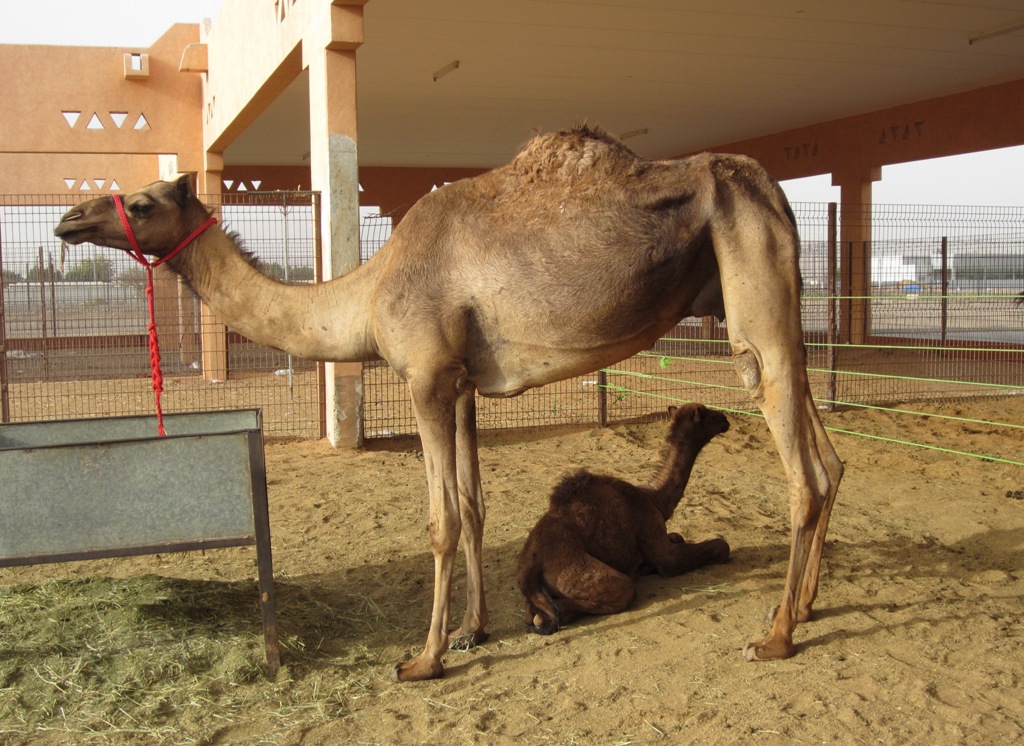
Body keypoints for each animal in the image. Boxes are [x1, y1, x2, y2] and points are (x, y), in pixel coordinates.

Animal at [520, 405, 729, 630]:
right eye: (709, 415)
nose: (725, 418)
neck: (654, 498)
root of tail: (529, 565)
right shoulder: (659, 545)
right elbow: (720, 546)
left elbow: (678, 537)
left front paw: (647, 565)